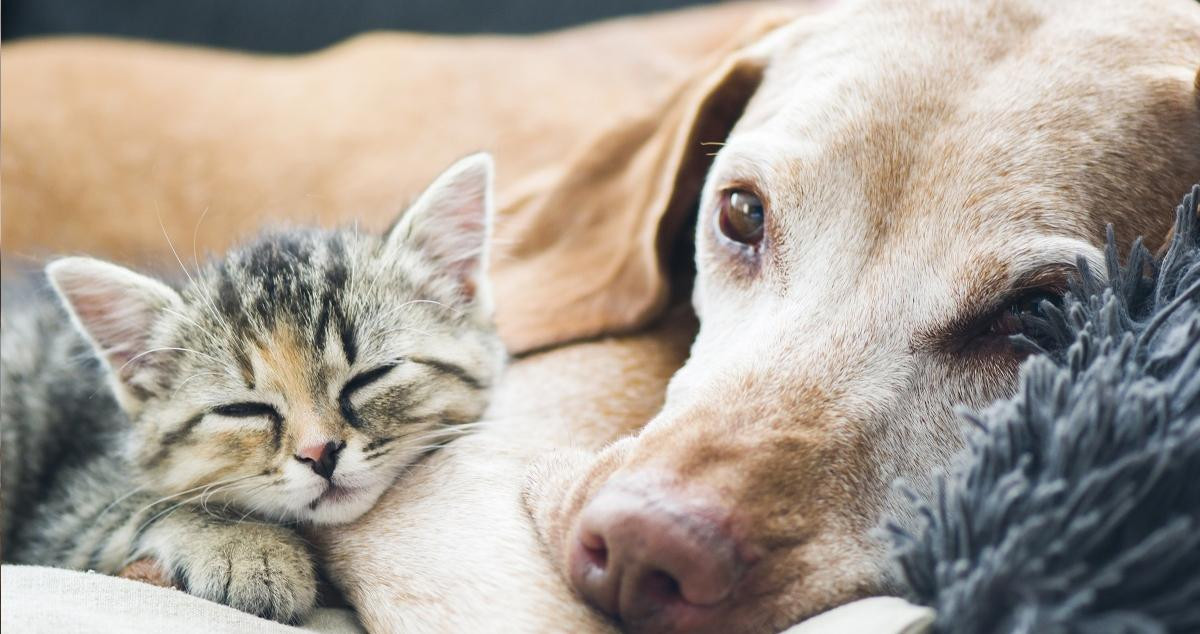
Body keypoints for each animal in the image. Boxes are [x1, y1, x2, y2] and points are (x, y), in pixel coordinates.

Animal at [0, 154, 506, 624]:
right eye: (243, 410)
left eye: (370, 377)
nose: (320, 452)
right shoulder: (61, 515)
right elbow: (147, 505)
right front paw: (249, 550)